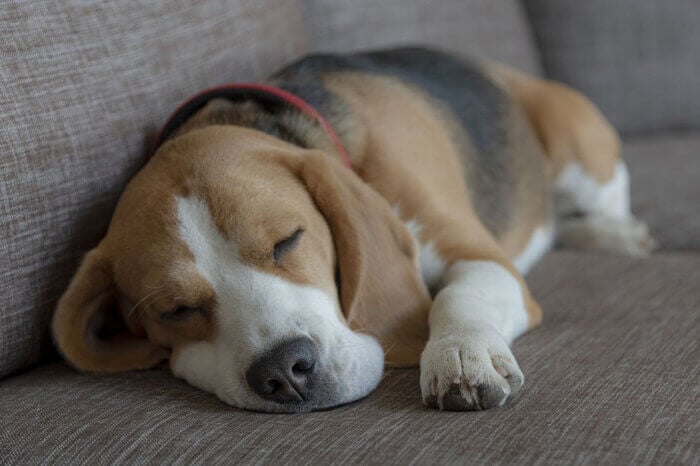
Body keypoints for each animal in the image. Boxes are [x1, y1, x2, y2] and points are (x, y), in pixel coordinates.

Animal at [52, 47, 652, 412]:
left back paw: (615, 234)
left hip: (579, 147)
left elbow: (456, 296)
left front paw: (461, 354)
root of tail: (498, 68)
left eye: (287, 240)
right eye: (174, 310)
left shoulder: (477, 254)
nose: (286, 371)